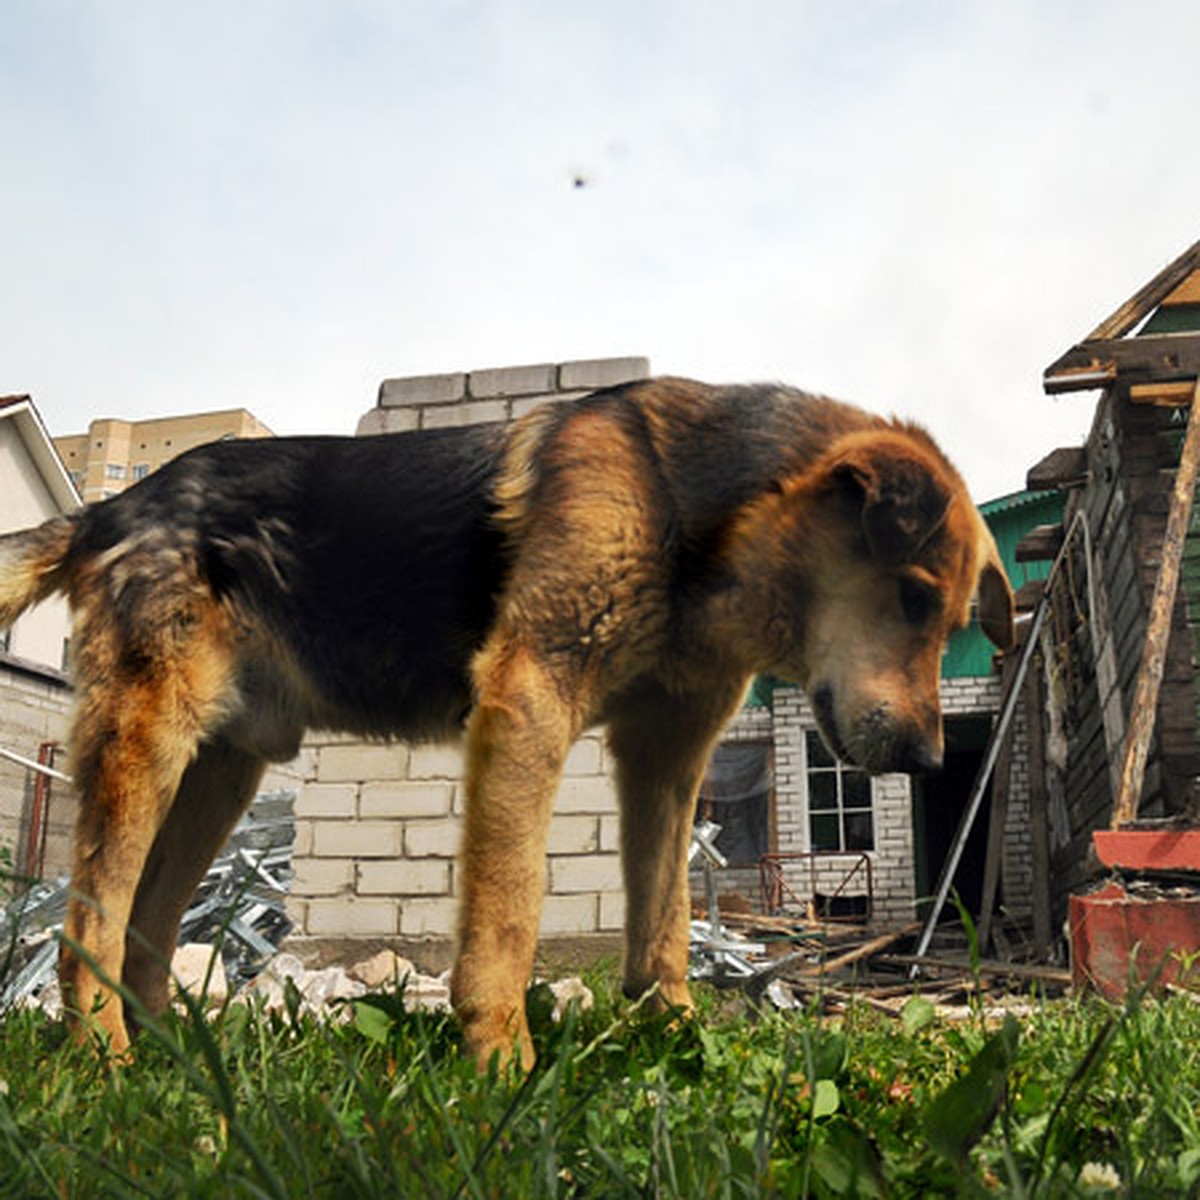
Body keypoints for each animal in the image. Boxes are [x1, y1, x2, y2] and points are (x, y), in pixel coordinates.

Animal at [0, 379, 1012, 1065]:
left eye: (950, 621)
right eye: (915, 598)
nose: (929, 760)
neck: (694, 511)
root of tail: (109, 510)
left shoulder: (664, 755)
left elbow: (665, 920)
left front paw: (675, 1035)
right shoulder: (528, 706)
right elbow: (511, 908)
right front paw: (500, 1062)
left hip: (220, 769)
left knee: (147, 924)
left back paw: (170, 1060)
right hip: (149, 743)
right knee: (90, 922)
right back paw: (105, 1059)